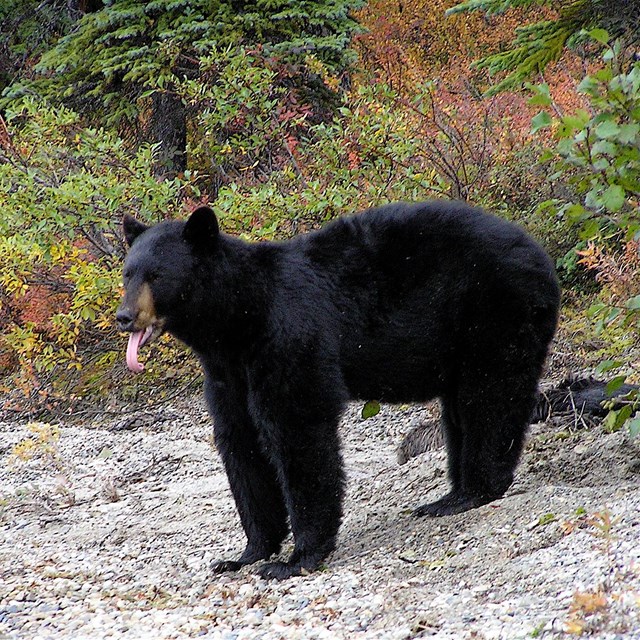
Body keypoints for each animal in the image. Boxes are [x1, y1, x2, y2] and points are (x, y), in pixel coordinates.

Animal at [116, 200, 560, 580]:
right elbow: (240, 444)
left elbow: (298, 431)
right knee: (461, 410)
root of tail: (540, 254)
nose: (124, 316)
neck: (237, 321)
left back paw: (476, 491)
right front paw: (246, 553)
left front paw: (295, 558)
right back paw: (450, 497)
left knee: (490, 396)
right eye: (128, 272)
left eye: (156, 275)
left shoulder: (289, 339)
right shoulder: (228, 374)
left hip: (494, 311)